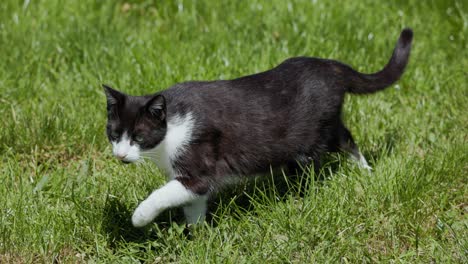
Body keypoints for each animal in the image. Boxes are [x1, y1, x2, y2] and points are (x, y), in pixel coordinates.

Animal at [103, 28, 414, 227]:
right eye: (115, 134)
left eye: (139, 136)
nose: (120, 155)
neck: (170, 132)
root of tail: (329, 65)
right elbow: (194, 205)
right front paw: (198, 236)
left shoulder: (200, 163)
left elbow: (168, 193)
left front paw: (139, 217)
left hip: (318, 132)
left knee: (345, 141)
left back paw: (362, 173)